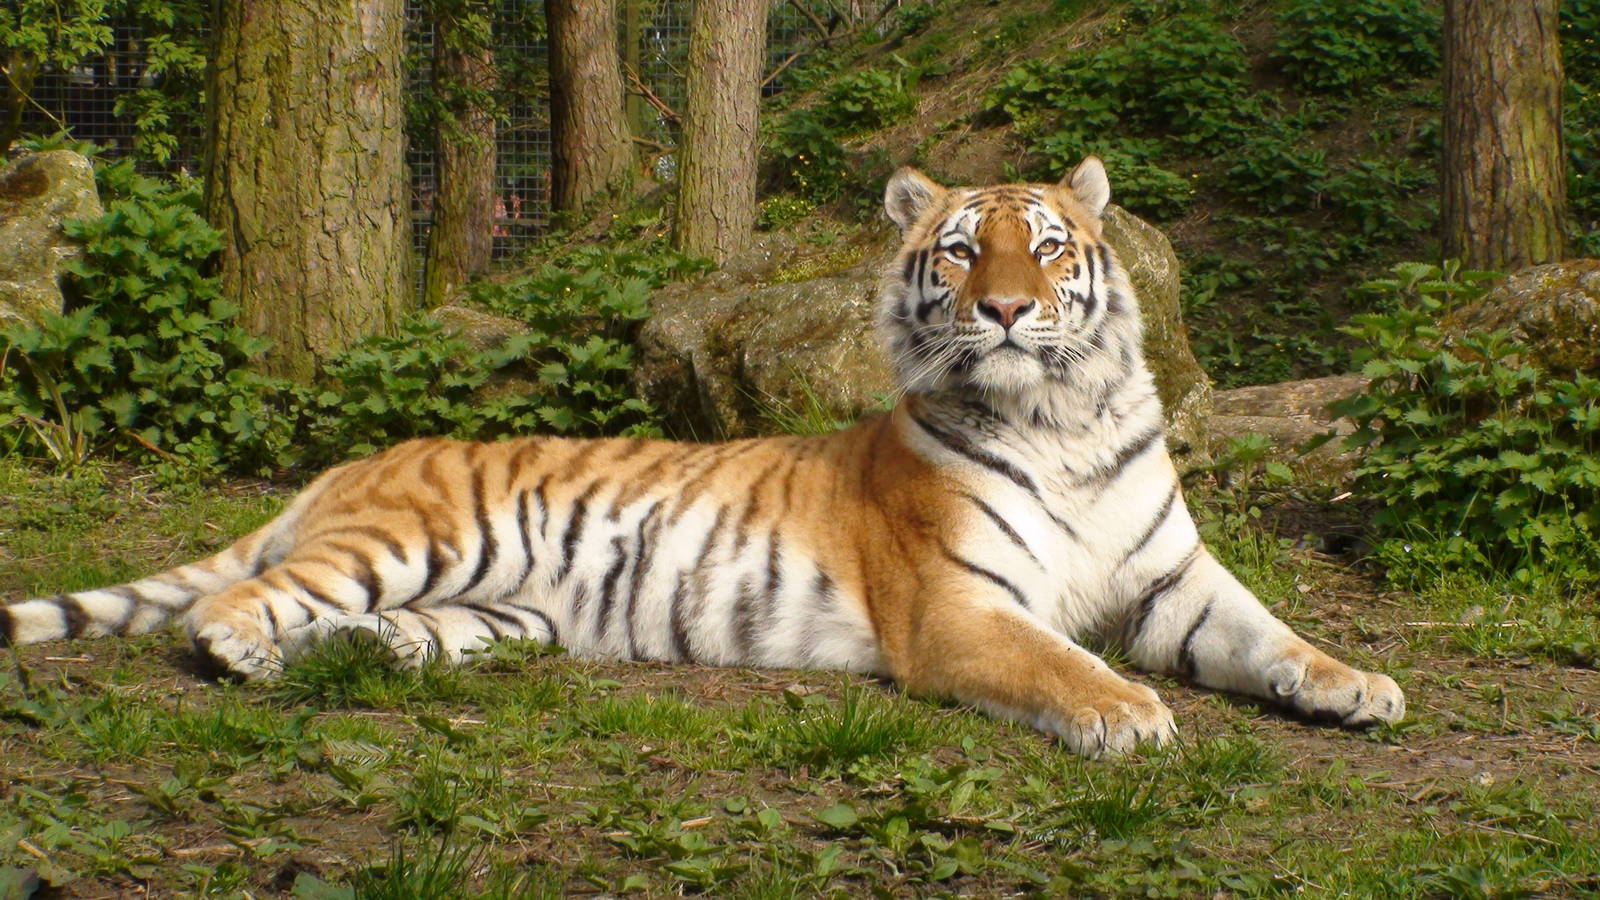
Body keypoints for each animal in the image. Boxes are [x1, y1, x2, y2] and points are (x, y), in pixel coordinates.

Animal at [0, 157, 1405, 758]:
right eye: (961, 249)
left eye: (1049, 248)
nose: (1006, 308)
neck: (1059, 423)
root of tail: (355, 461)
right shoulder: (960, 610)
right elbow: (1061, 663)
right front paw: (1127, 713)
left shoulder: (1174, 582)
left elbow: (1277, 637)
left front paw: (1358, 688)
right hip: (411, 539)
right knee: (236, 601)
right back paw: (246, 654)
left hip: (498, 612)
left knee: (367, 627)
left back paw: (364, 656)